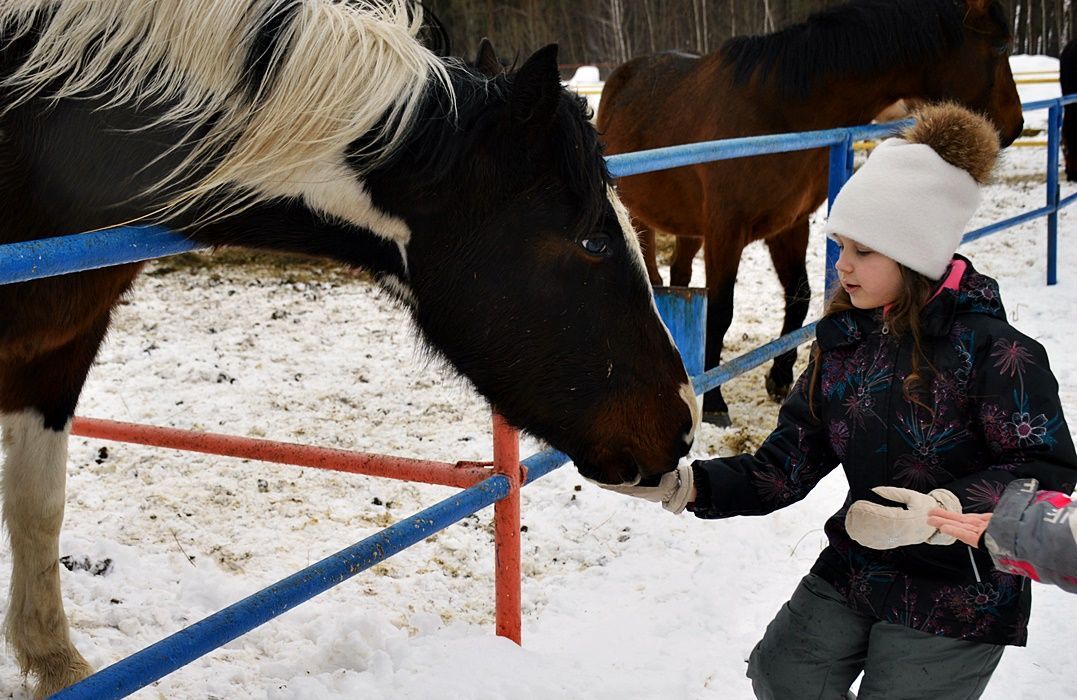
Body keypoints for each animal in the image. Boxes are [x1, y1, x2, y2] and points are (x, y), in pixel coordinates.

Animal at [603, 0, 1020, 424]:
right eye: (1001, 46)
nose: (1015, 125)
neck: (777, 114)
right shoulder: (726, 232)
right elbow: (721, 310)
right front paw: (715, 402)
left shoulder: (789, 226)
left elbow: (798, 298)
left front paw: (779, 377)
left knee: (678, 275)